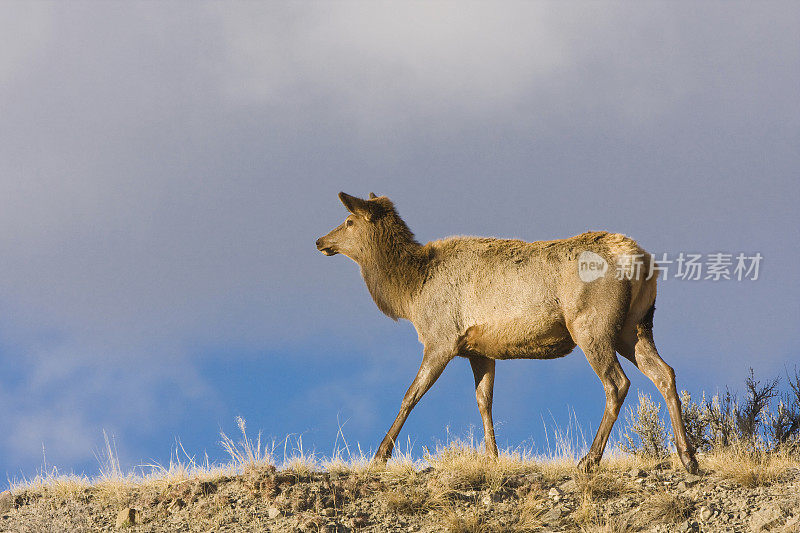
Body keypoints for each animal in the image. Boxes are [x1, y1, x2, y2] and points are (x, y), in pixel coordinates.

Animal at [316, 192, 696, 474]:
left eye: (349, 221)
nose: (320, 240)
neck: (410, 292)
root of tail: (643, 261)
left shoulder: (441, 338)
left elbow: (411, 395)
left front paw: (380, 455)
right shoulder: (479, 349)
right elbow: (484, 401)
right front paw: (492, 457)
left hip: (592, 325)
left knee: (617, 383)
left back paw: (589, 460)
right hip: (635, 327)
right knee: (665, 373)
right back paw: (688, 457)